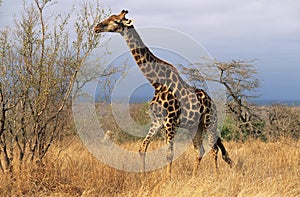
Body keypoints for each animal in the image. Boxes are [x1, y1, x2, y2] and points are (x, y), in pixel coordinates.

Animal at [95, 10, 233, 177]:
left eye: (116, 21)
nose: (96, 27)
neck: (157, 83)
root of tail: (212, 103)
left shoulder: (170, 122)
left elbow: (169, 153)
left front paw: (168, 178)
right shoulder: (157, 121)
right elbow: (142, 148)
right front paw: (142, 177)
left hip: (209, 122)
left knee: (214, 149)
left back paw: (217, 176)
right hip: (195, 126)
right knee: (200, 150)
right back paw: (193, 177)